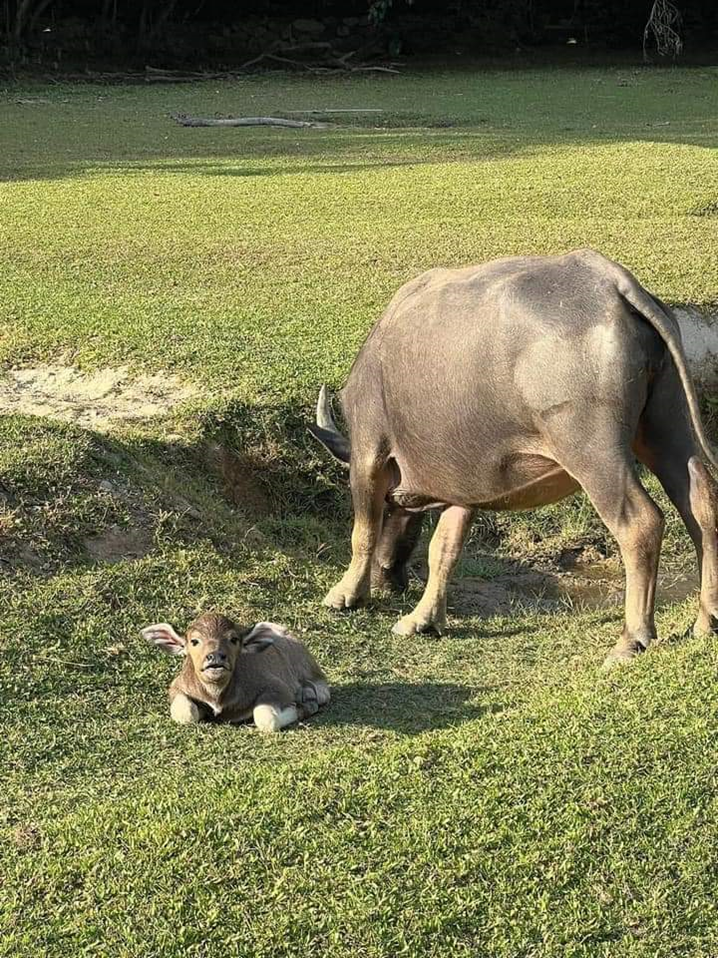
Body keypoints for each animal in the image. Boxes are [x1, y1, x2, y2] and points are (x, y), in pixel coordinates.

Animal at [312, 249, 718, 668]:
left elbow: (363, 529)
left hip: (593, 450)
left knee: (641, 522)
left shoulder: (368, 451)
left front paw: (346, 594)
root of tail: (613, 285)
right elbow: (444, 548)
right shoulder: (467, 485)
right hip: (665, 424)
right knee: (700, 504)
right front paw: (423, 618)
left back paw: (631, 639)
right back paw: (706, 621)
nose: (388, 578)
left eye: (396, 506)